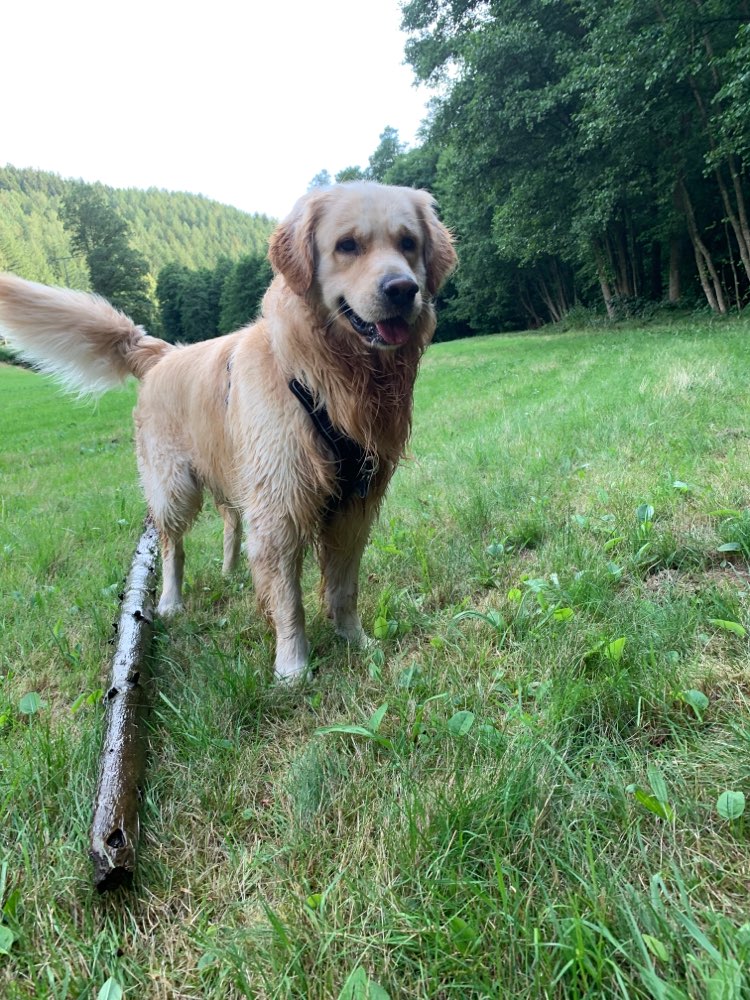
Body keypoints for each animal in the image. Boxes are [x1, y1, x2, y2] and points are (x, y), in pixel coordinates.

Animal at [0, 182, 458, 680]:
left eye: (408, 243)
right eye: (347, 245)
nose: (403, 289)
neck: (325, 373)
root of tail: (161, 353)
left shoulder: (355, 504)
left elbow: (343, 587)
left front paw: (355, 640)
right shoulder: (281, 505)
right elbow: (288, 600)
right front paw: (293, 667)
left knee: (230, 517)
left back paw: (231, 568)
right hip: (175, 487)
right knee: (172, 546)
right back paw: (171, 601)